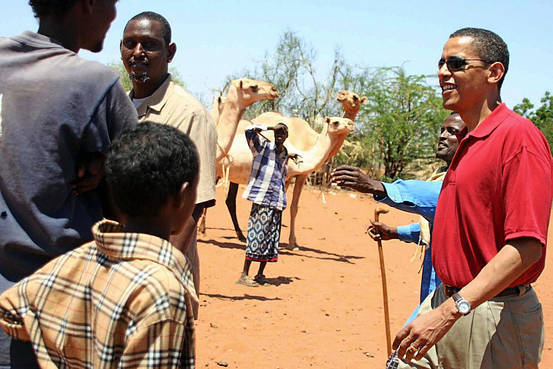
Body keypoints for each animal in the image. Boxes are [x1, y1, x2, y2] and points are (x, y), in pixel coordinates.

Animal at [218, 89, 364, 246]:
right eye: (336, 122)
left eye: (355, 96)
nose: (351, 124)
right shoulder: (294, 176)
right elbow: (287, 206)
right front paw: (290, 243)